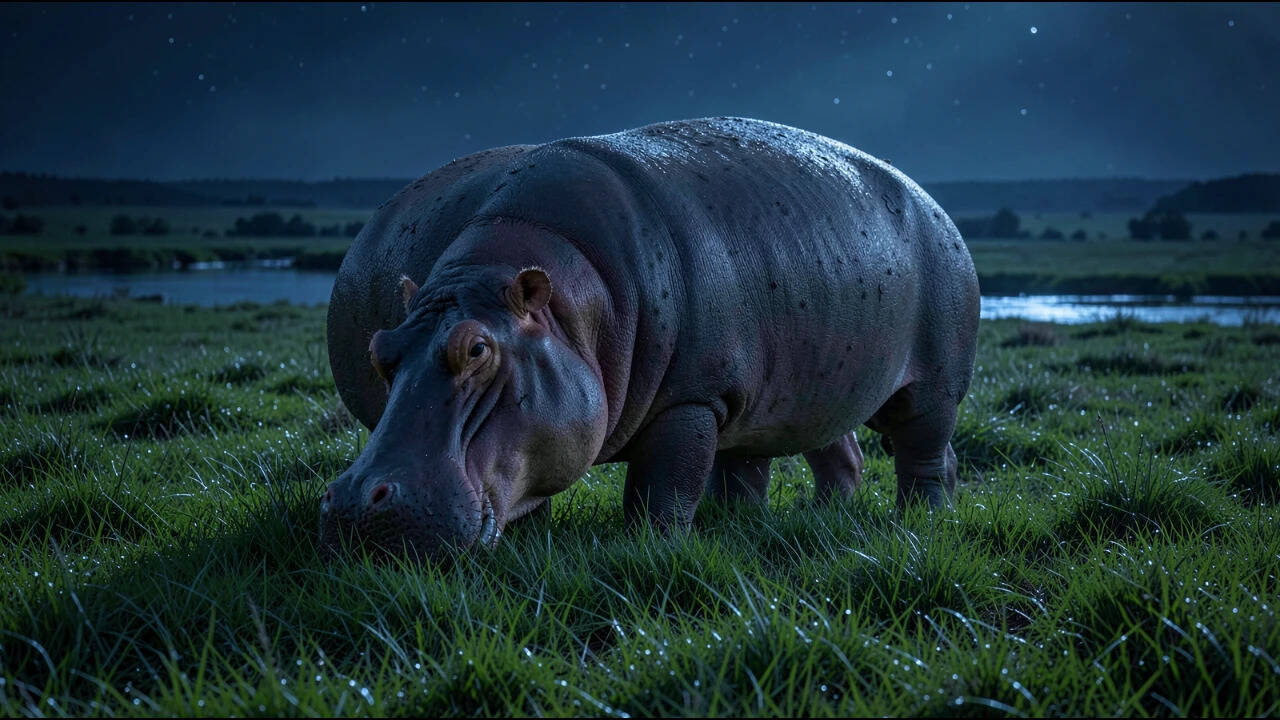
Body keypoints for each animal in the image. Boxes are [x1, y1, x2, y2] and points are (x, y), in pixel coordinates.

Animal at [321, 117, 979, 560]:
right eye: (380, 352)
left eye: (476, 349)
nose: (352, 502)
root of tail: (934, 203)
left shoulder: (691, 399)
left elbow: (663, 487)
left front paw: (653, 550)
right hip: (811, 390)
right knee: (825, 456)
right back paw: (799, 519)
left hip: (933, 388)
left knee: (922, 455)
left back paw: (920, 520)